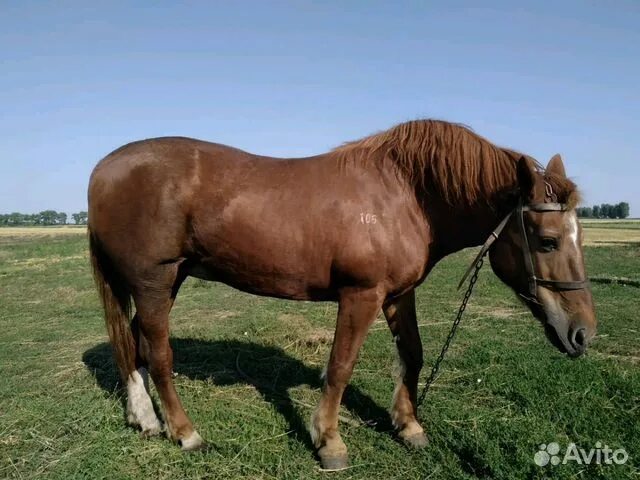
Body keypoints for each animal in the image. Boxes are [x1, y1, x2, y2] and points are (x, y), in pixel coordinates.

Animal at [87, 120, 596, 468]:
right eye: (548, 240)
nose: (583, 334)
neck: (407, 196)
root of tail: (104, 169)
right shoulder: (360, 295)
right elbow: (340, 366)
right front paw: (329, 441)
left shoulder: (398, 294)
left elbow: (412, 355)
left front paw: (409, 425)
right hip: (155, 282)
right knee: (158, 353)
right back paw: (185, 432)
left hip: (166, 282)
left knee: (132, 343)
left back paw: (145, 419)